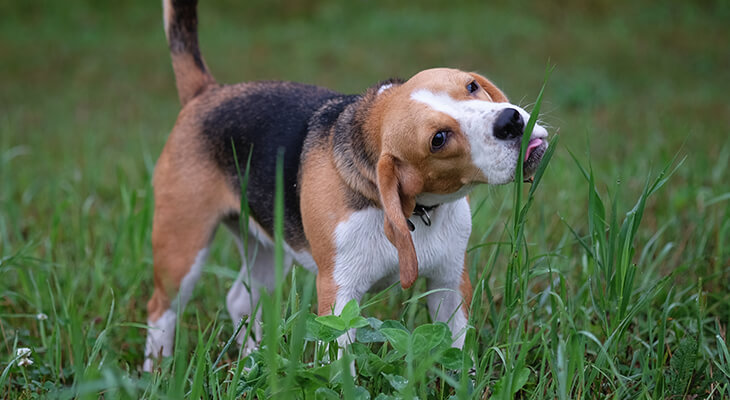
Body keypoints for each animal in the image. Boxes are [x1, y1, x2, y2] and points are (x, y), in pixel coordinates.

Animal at [145, 0, 544, 372]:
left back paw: (250, 361)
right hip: (182, 248)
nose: (510, 121)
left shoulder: (450, 283)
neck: (417, 210)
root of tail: (208, 93)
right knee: (160, 310)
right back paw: (156, 373)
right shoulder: (339, 295)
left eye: (471, 86)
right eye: (438, 139)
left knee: (240, 301)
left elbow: (458, 352)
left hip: (267, 252)